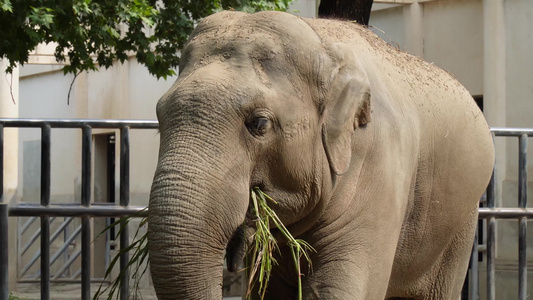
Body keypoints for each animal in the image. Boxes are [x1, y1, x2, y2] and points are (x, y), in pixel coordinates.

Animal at [147, 9, 494, 300]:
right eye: (159, 117)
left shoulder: (380, 169)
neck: (322, 43)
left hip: (460, 223)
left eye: (259, 124)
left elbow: (338, 288)